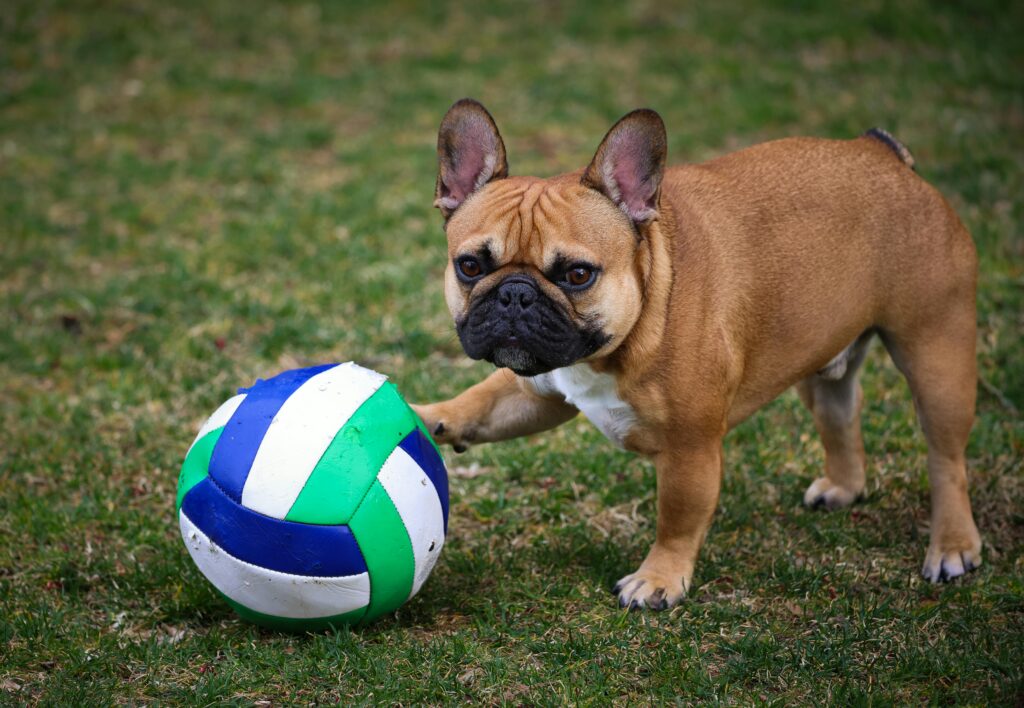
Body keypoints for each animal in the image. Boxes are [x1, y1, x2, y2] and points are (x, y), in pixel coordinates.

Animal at [409, 99, 983, 610]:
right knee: (840, 416)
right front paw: (424, 415)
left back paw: (953, 546)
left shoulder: (691, 450)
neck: (645, 311)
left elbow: (679, 516)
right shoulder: (541, 387)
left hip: (936, 353)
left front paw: (659, 579)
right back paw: (844, 488)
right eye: (470, 266)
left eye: (577, 274)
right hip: (824, 361)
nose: (515, 296)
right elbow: (482, 402)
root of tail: (882, 154)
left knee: (946, 459)